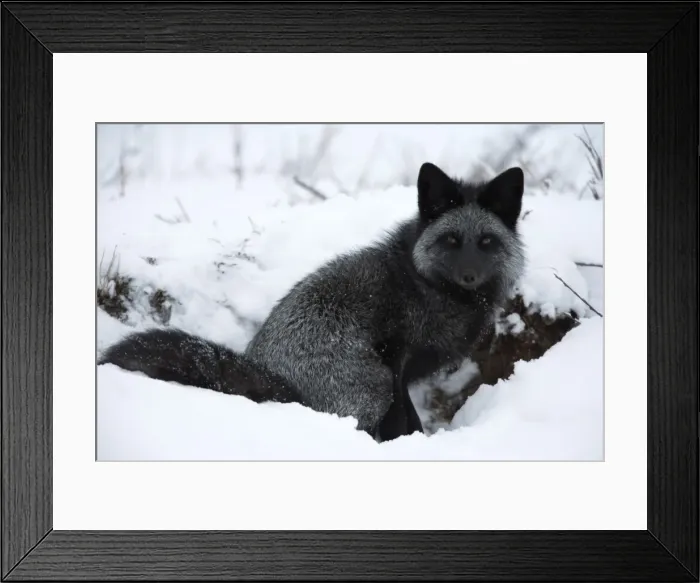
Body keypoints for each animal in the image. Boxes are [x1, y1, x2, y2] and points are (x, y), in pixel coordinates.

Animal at [98, 161, 526, 442]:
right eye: (451, 241)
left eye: (486, 242)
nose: (469, 276)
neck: (428, 287)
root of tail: (278, 380)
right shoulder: (395, 358)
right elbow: (406, 420)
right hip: (372, 384)